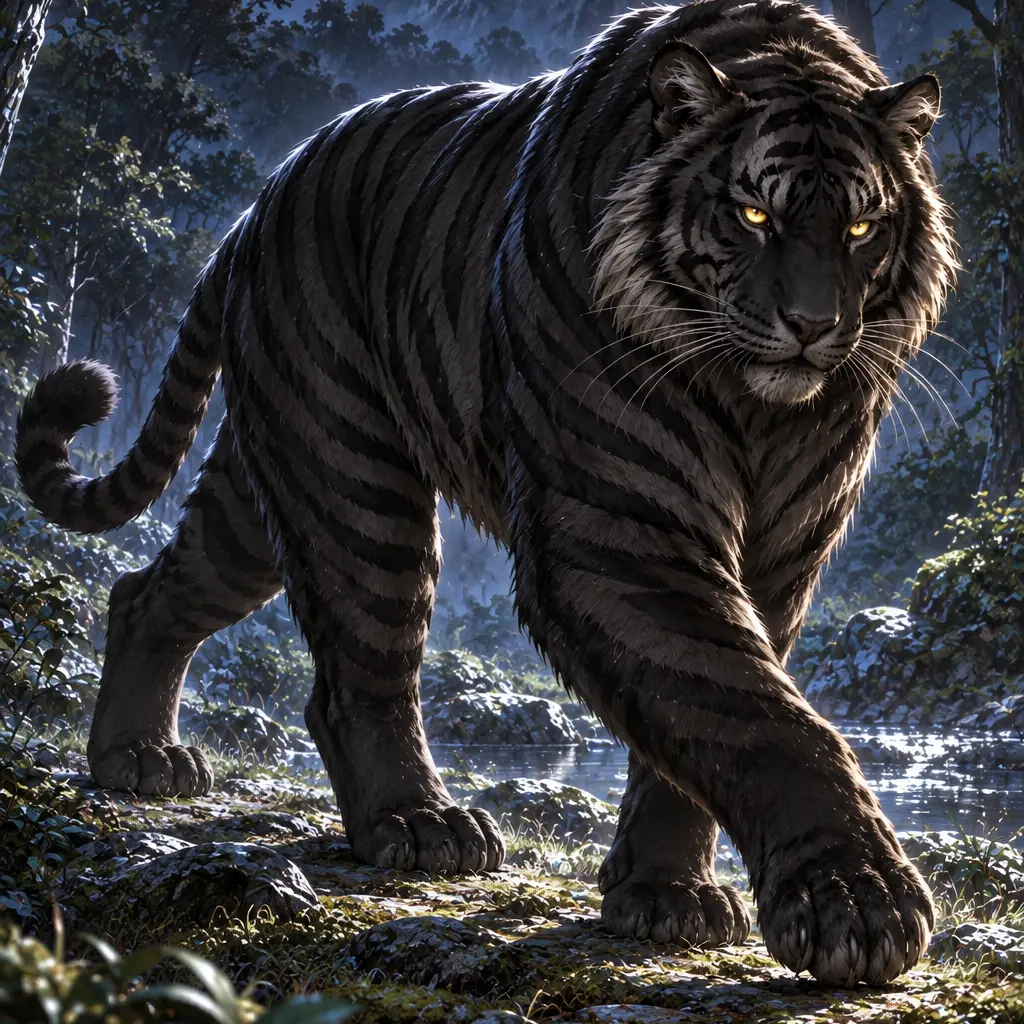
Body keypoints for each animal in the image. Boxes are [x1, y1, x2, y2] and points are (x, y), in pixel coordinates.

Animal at [15, 0, 957, 987]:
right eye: (753, 213)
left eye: (861, 229)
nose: (814, 325)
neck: (754, 407)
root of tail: (261, 200)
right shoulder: (617, 529)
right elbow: (755, 713)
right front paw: (856, 898)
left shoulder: (782, 548)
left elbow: (714, 711)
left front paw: (669, 896)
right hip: (351, 478)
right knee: (359, 675)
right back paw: (418, 824)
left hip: (261, 490)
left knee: (150, 590)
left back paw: (134, 757)